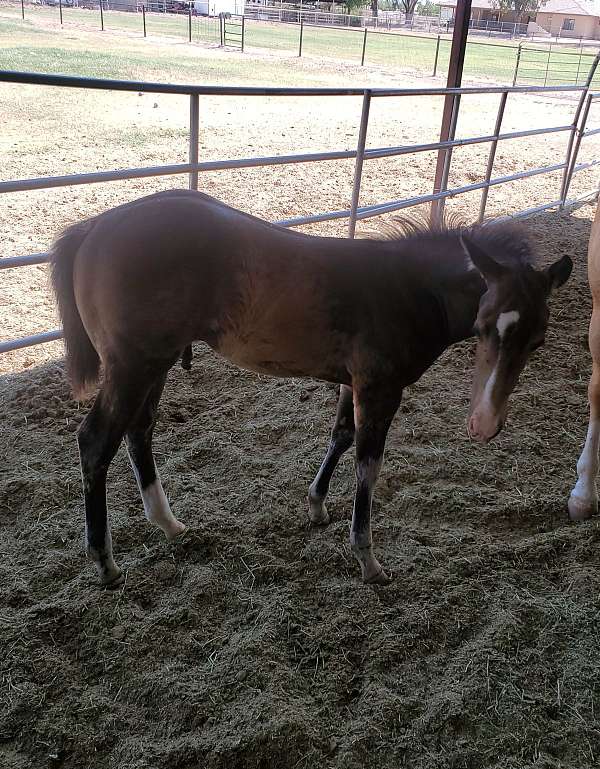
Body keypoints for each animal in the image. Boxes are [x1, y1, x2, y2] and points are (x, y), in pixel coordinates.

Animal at [51, 189, 572, 584]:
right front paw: (367, 559)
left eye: (540, 340)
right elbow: (368, 465)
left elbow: (340, 435)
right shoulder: (380, 388)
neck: (408, 290)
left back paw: (170, 524)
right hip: (132, 366)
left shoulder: (353, 383)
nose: (484, 423)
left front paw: (317, 507)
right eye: (483, 326)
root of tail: (95, 227)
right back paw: (105, 562)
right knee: (96, 441)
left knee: (138, 432)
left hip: (154, 364)